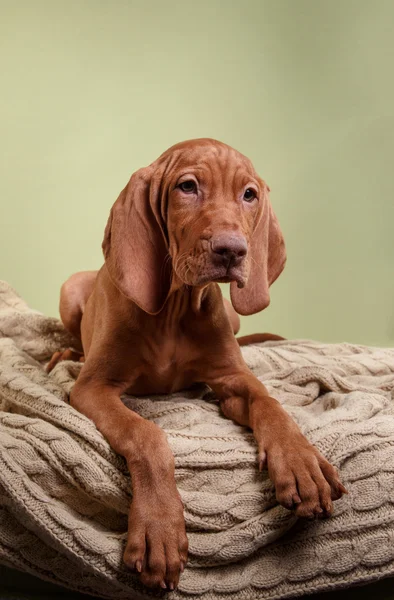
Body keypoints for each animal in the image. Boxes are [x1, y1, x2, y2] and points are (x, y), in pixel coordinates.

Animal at [50, 139, 348, 592]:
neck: (174, 310)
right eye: (187, 187)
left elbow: (271, 404)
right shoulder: (92, 387)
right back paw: (66, 354)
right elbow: (146, 434)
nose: (232, 250)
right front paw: (159, 528)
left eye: (249, 194)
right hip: (70, 289)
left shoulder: (232, 379)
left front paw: (301, 462)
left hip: (235, 315)